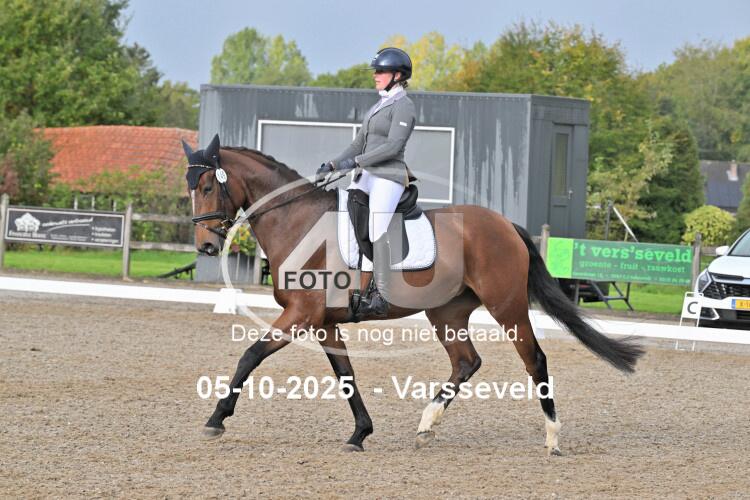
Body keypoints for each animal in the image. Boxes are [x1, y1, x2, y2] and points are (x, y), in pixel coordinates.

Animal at [184, 135, 643, 454]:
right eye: (190, 187)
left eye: (207, 187)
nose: (205, 246)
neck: (297, 221)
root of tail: (506, 225)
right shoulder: (324, 323)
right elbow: (346, 376)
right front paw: (360, 433)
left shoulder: (301, 316)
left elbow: (250, 356)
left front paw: (215, 419)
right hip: (447, 313)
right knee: (466, 362)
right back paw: (426, 425)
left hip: (507, 306)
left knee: (535, 361)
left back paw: (552, 439)